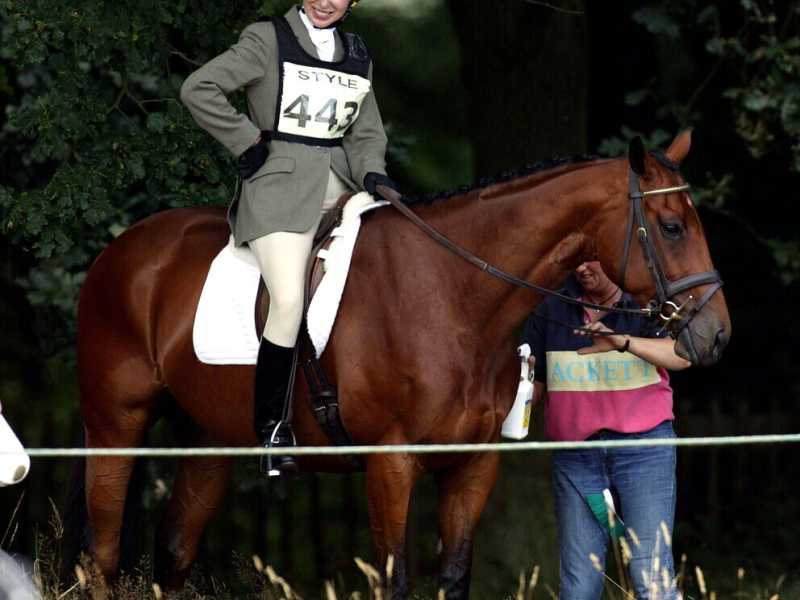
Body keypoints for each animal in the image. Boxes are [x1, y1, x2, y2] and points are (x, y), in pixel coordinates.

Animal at [72, 130, 729, 599]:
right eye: (672, 227)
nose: (717, 334)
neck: (454, 293)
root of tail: (121, 248)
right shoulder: (390, 464)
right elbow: (395, 580)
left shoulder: (472, 466)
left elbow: (455, 575)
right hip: (115, 426)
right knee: (101, 557)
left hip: (210, 440)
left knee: (174, 553)